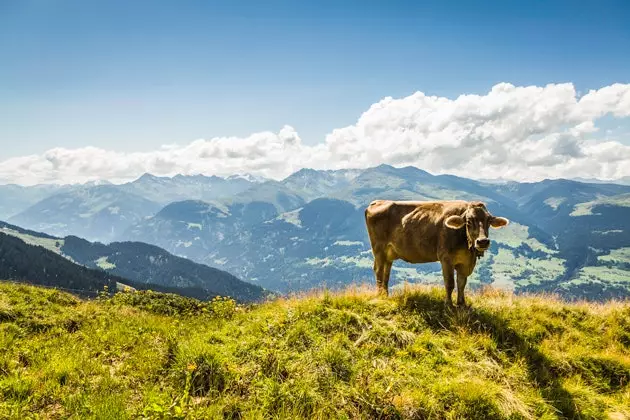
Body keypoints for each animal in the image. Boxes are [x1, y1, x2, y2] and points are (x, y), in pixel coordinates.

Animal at [368, 199, 512, 306]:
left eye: (489, 221)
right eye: (469, 221)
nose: (482, 241)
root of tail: (377, 202)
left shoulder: (465, 263)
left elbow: (462, 283)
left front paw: (461, 304)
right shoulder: (446, 258)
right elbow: (450, 283)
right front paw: (448, 304)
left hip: (389, 253)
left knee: (386, 272)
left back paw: (385, 295)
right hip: (378, 249)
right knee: (379, 271)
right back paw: (380, 296)